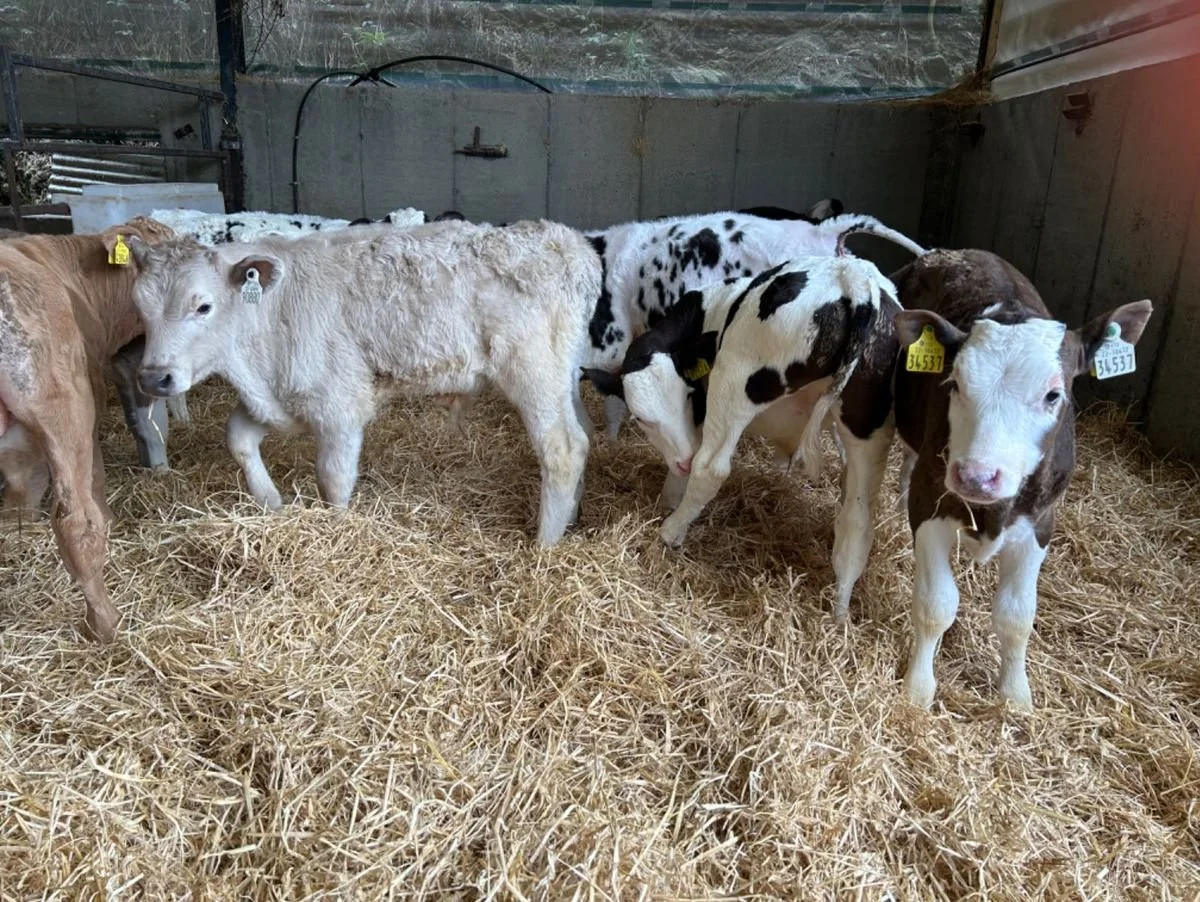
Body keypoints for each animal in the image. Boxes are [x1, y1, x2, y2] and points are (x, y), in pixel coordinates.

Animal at [0, 216, 178, 641]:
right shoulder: (88, 390)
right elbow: (94, 475)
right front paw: (110, 522)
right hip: (64, 402)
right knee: (74, 521)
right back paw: (107, 625)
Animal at [128, 219, 600, 545]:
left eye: (203, 306)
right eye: (139, 307)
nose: (153, 377)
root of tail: (566, 241)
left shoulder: (338, 406)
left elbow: (332, 480)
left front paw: (336, 531)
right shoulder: (281, 399)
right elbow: (238, 437)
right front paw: (271, 504)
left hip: (532, 371)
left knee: (562, 448)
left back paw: (544, 544)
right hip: (563, 376)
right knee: (585, 433)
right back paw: (571, 518)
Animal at [583, 255, 899, 619]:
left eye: (689, 394)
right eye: (641, 418)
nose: (683, 460)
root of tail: (854, 280)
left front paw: (668, 503)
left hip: (734, 383)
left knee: (711, 469)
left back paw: (671, 531)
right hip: (869, 426)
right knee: (858, 520)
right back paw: (838, 614)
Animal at [892, 248, 1153, 710]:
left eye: (1053, 394)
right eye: (954, 384)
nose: (977, 476)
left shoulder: (1041, 521)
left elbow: (1016, 616)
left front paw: (1015, 695)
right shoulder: (931, 500)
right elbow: (936, 604)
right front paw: (917, 690)